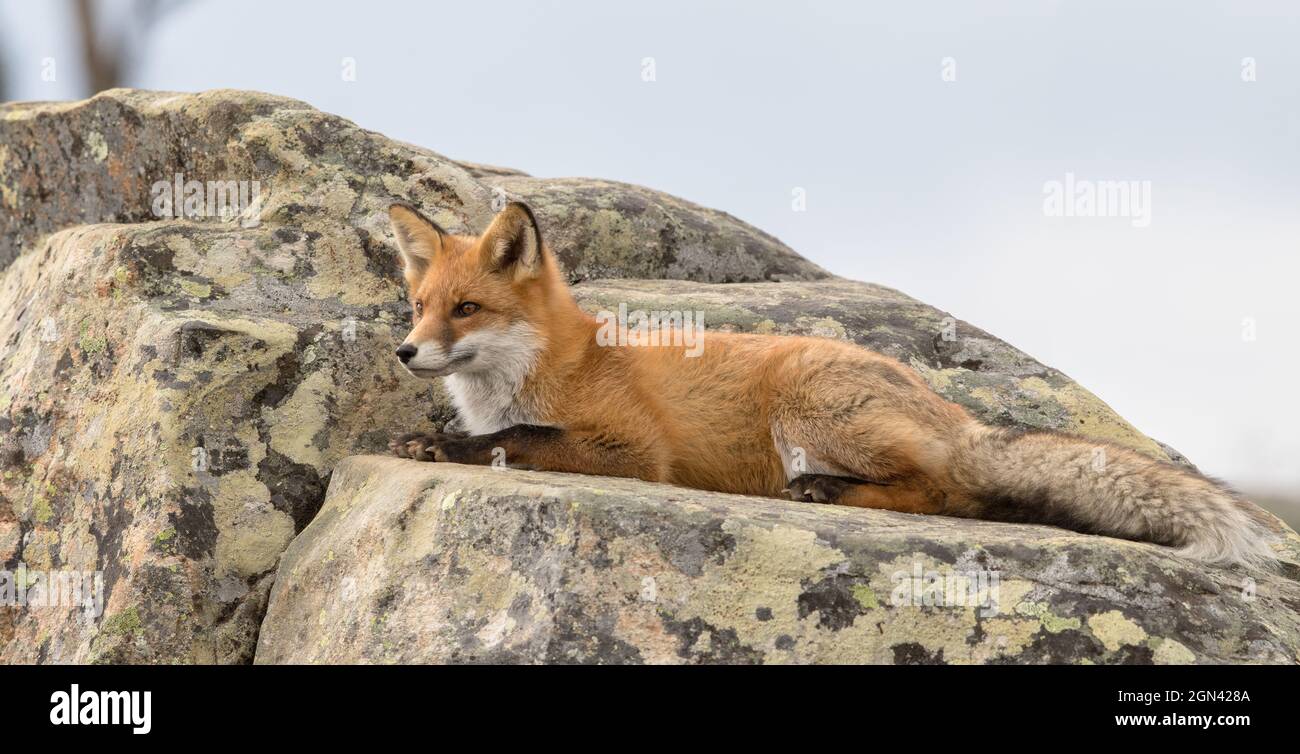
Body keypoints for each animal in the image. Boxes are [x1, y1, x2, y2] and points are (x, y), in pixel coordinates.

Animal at [385, 200, 1279, 569]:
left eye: (467, 309)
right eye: (419, 306)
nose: (404, 353)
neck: (544, 365)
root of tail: (952, 410)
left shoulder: (632, 450)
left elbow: (517, 438)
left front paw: (449, 442)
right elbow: (496, 435)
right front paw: (437, 436)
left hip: (810, 411)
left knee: (947, 496)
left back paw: (827, 494)